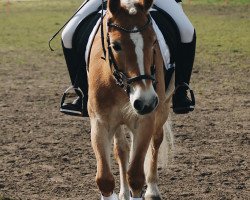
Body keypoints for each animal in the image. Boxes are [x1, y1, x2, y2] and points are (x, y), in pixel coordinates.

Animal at [87, 0, 175, 198]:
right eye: (116, 45)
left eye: (153, 41)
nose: (146, 101)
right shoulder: (100, 123)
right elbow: (104, 179)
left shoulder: (144, 121)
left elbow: (135, 175)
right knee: (122, 150)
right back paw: (123, 193)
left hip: (163, 107)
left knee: (156, 140)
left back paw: (152, 190)